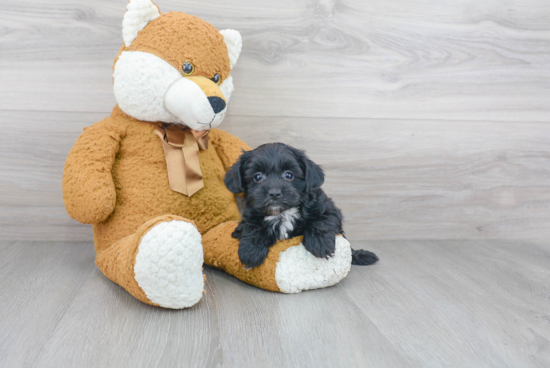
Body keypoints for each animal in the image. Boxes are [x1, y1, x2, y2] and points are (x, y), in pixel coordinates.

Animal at [224, 142, 380, 268]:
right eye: (258, 177)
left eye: (289, 175)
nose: (274, 193)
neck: (283, 213)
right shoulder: (250, 215)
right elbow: (252, 227)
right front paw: (251, 252)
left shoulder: (328, 209)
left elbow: (321, 221)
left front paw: (320, 244)